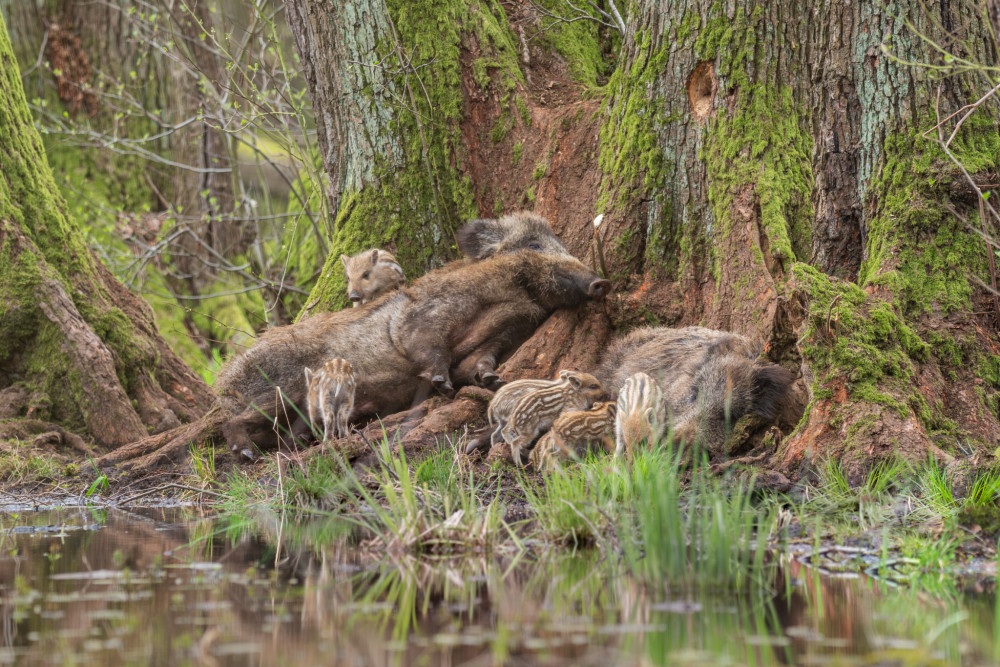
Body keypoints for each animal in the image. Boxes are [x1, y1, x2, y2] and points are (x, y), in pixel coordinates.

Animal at [214, 216, 610, 457]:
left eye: (561, 244)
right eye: (534, 245)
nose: (601, 281)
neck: (507, 295)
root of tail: (226, 380)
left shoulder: (501, 332)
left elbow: (477, 361)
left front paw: (492, 380)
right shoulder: (422, 318)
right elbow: (428, 347)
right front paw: (442, 385)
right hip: (278, 390)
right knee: (232, 421)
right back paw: (245, 452)